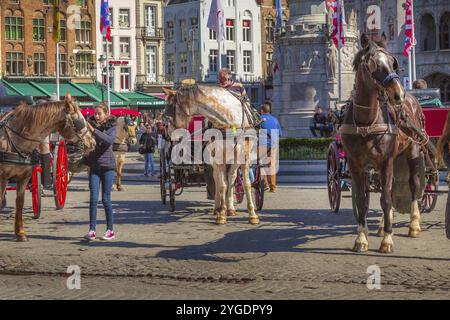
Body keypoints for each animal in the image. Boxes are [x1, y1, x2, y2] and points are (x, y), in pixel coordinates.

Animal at [0, 92, 96, 240]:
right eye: (80, 120)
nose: (93, 142)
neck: (16, 140)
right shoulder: (2, 177)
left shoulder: (24, 177)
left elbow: (20, 202)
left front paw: (21, 233)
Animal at [162, 84, 260, 226]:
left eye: (168, 115)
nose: (167, 135)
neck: (230, 120)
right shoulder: (218, 158)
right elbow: (222, 185)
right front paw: (221, 214)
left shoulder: (244, 156)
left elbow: (246, 184)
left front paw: (252, 214)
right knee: (218, 180)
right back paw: (218, 208)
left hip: (234, 159)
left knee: (231, 177)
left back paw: (230, 208)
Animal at [342, 32, 426, 252]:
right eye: (372, 64)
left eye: (392, 62)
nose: (398, 94)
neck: (366, 123)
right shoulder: (356, 164)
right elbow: (362, 199)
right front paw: (361, 238)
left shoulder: (386, 161)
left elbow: (386, 198)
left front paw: (388, 239)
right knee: (389, 186)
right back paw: (382, 225)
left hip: (413, 150)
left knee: (413, 185)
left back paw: (414, 224)